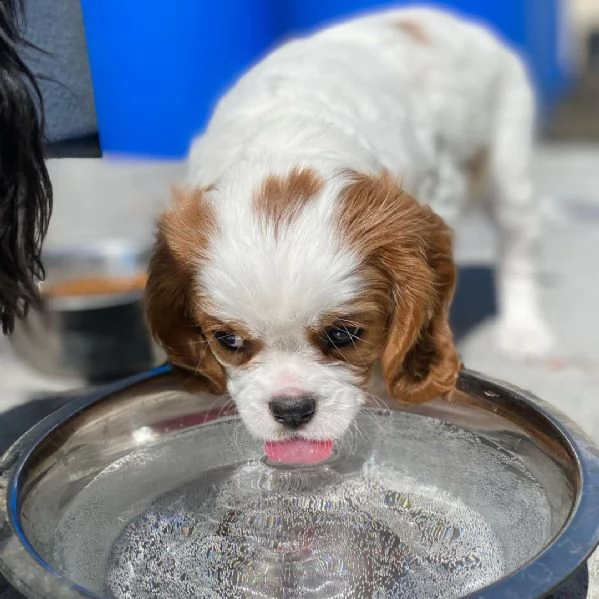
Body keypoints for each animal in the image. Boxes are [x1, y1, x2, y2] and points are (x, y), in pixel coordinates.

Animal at [145, 8, 552, 464]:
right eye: (228, 340)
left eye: (344, 335)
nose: (291, 409)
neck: (285, 142)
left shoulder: (437, 189)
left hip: (508, 160)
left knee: (518, 243)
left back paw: (524, 331)